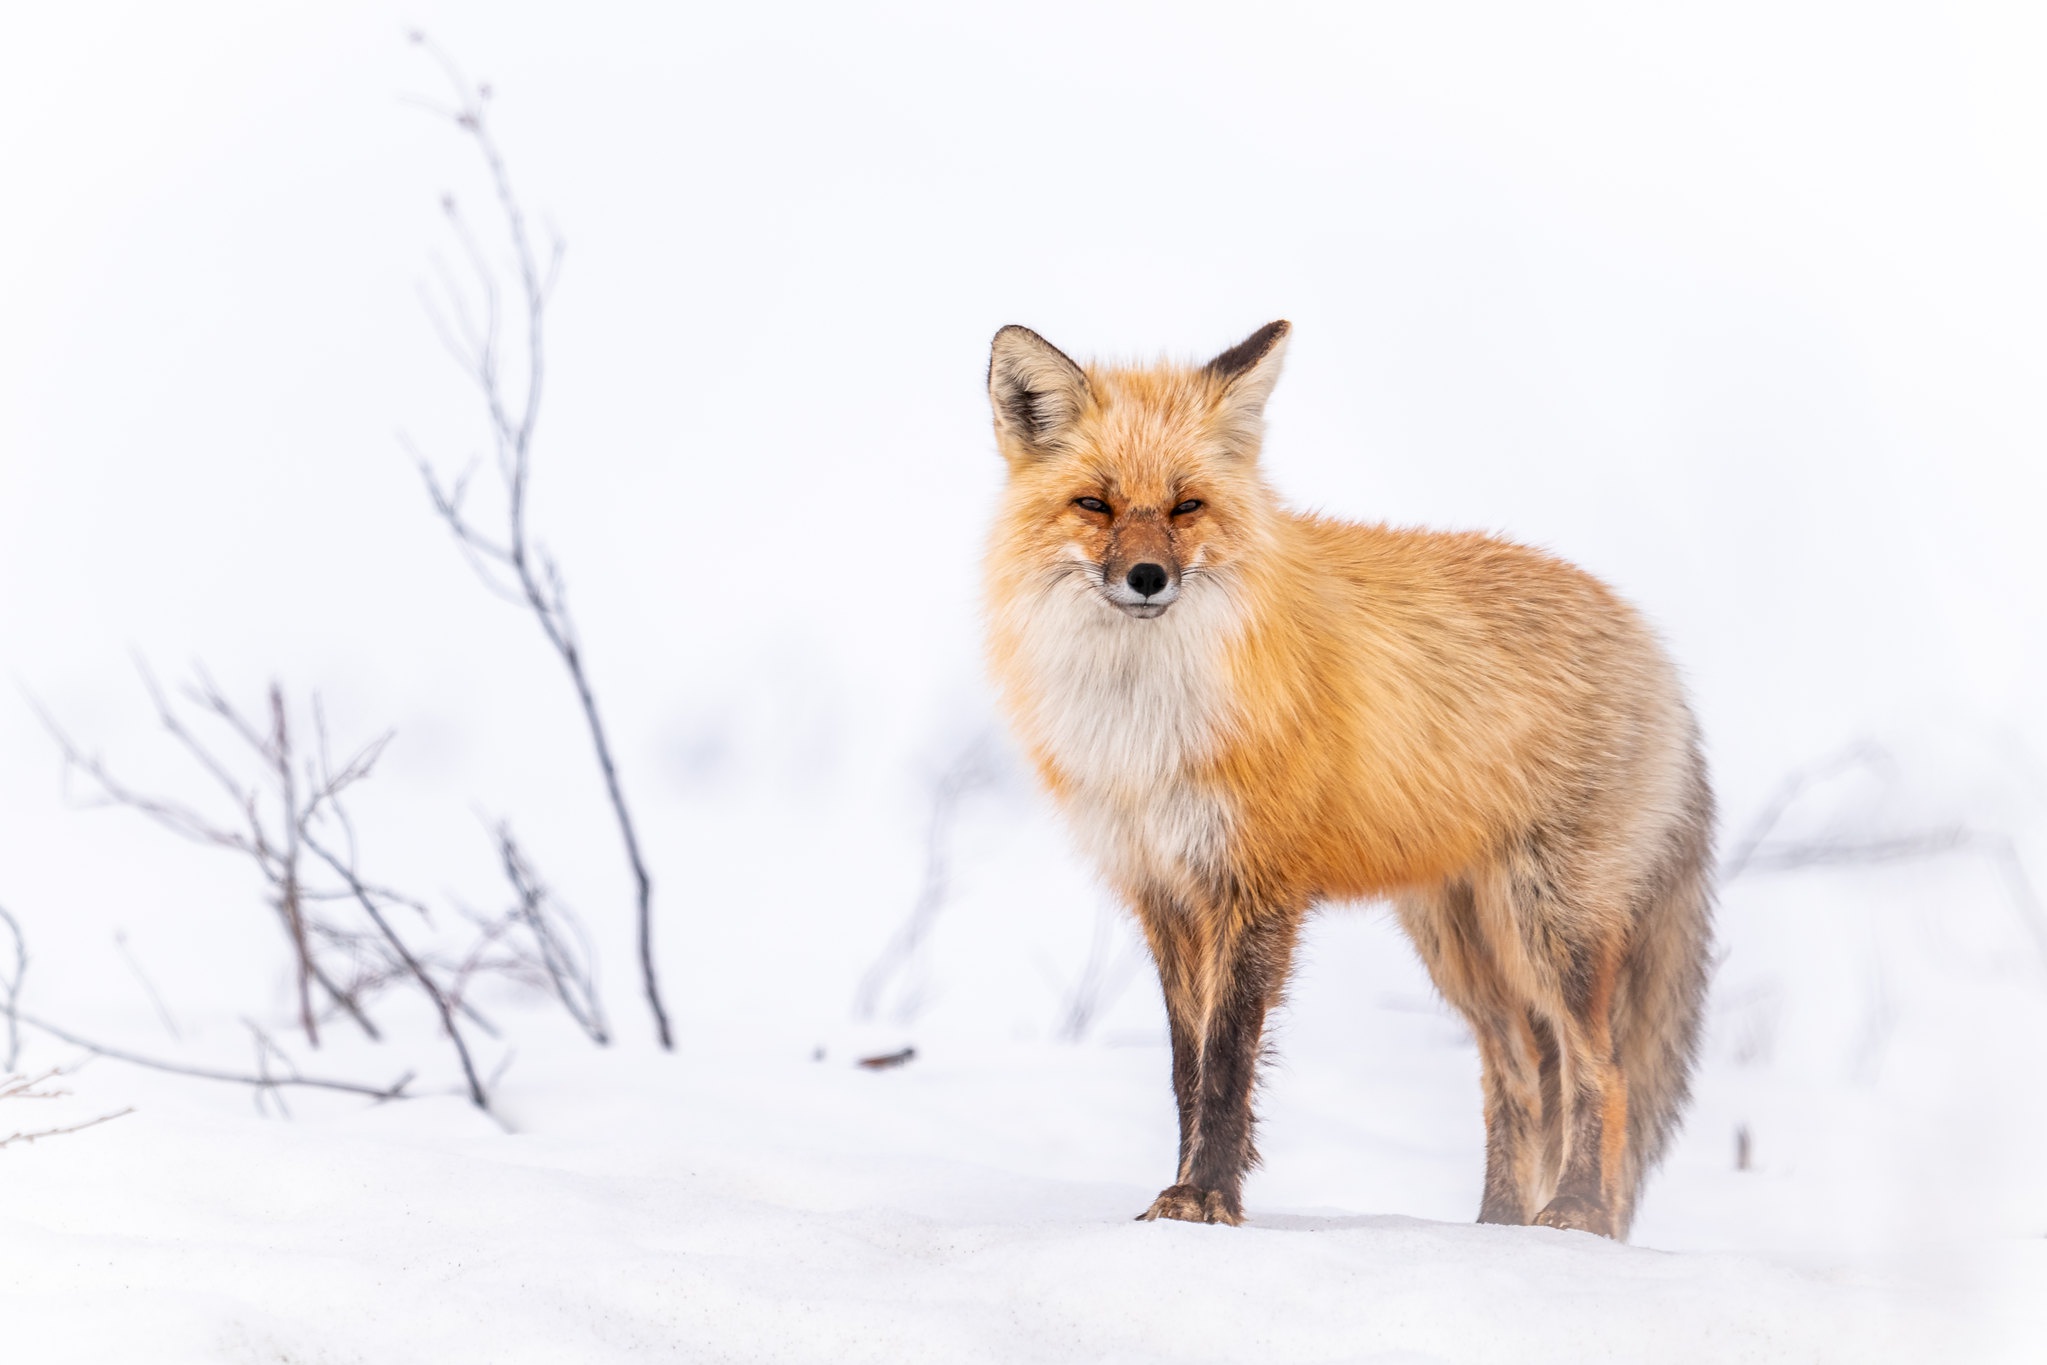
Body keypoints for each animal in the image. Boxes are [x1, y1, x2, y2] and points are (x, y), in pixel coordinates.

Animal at [982, 321, 1719, 1236]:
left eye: (1186, 505)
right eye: (1095, 504)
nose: (1147, 578)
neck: (1147, 717)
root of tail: (1649, 640)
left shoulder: (1254, 884)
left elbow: (1227, 1063)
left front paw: (1206, 1197)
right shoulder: (1163, 890)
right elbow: (1187, 1067)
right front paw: (1187, 1195)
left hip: (1550, 925)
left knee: (1600, 1069)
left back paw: (1573, 1211)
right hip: (1459, 945)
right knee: (1514, 1078)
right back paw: (1495, 1227)